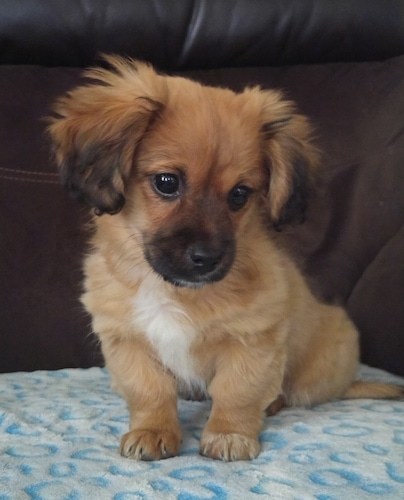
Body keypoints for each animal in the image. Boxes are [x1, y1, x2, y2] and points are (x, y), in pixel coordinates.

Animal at [48, 57, 404, 460]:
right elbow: (150, 391)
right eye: (166, 182)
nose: (207, 258)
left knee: (289, 392)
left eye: (239, 195)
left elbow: (238, 392)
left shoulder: (253, 339)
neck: (176, 291)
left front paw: (230, 434)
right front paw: (152, 431)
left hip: (314, 372)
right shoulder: (127, 339)